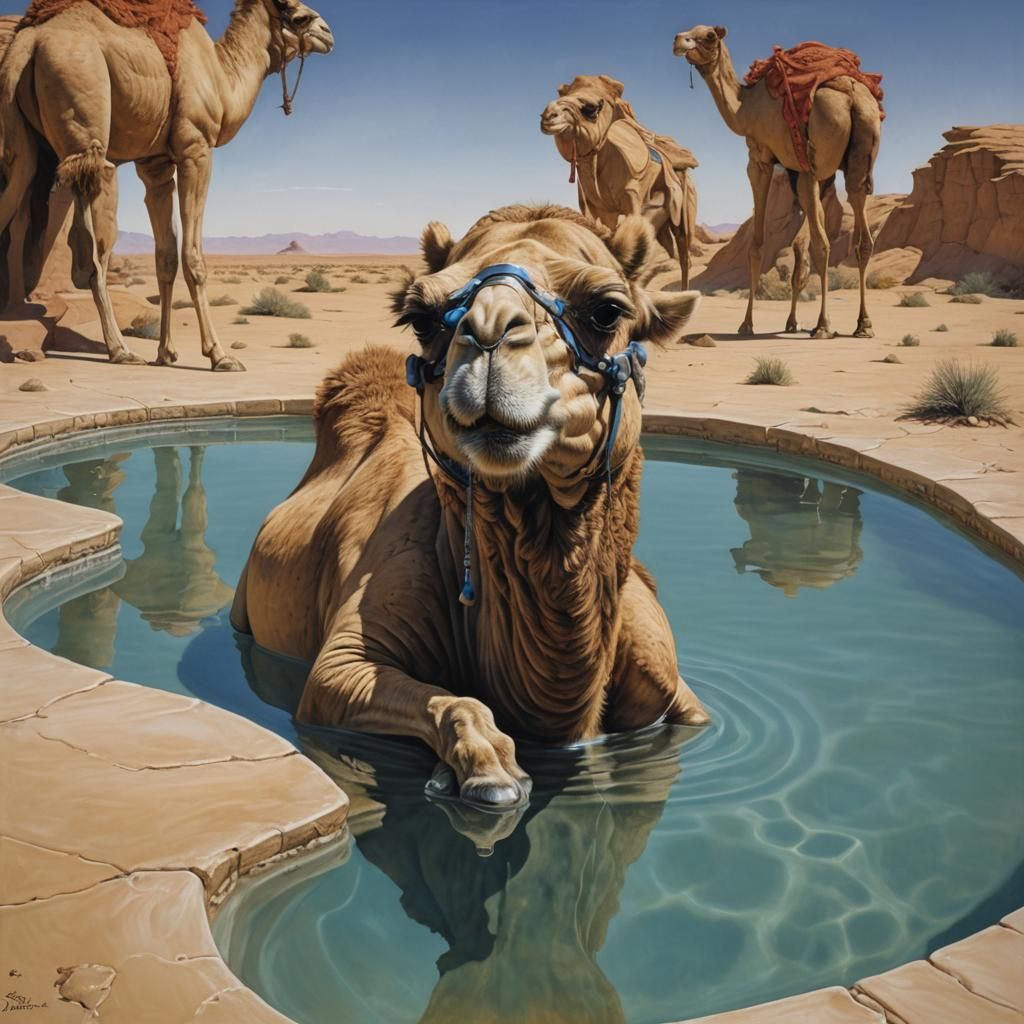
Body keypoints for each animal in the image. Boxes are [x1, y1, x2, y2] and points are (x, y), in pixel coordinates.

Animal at [0, 0, 333, 370]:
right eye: (301, 16)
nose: (328, 34)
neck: (220, 77)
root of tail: (27, 43)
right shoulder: (195, 148)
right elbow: (192, 257)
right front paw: (219, 355)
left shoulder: (155, 164)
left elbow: (166, 258)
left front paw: (166, 353)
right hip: (85, 118)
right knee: (92, 249)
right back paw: (120, 349)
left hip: (25, 146)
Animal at [231, 204, 709, 809]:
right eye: (422, 316)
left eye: (608, 310)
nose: (486, 335)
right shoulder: (343, 665)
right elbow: (447, 700)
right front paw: (485, 771)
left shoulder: (670, 681)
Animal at [541, 75, 699, 288]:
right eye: (563, 94)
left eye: (591, 108)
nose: (548, 115)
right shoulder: (601, 211)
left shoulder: (632, 199)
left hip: (682, 212)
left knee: (684, 256)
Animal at [673, 26, 882, 338]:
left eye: (709, 35)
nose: (679, 40)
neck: (745, 109)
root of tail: (851, 95)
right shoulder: (807, 173)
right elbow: (797, 247)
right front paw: (791, 322)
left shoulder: (759, 159)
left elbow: (757, 245)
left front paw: (747, 323)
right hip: (859, 155)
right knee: (860, 233)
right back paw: (862, 324)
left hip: (815, 155)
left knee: (822, 244)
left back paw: (823, 325)